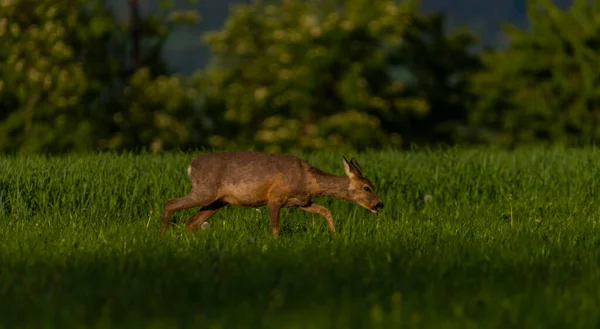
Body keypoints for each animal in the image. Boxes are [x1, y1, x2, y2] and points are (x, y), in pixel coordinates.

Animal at [161, 151, 384, 236]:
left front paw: (334, 235)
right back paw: (161, 235)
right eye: (367, 187)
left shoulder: (302, 202)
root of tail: (191, 165)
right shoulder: (274, 196)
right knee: (170, 203)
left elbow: (326, 211)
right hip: (204, 191)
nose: (379, 204)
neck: (308, 180)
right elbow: (275, 228)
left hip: (218, 201)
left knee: (192, 221)